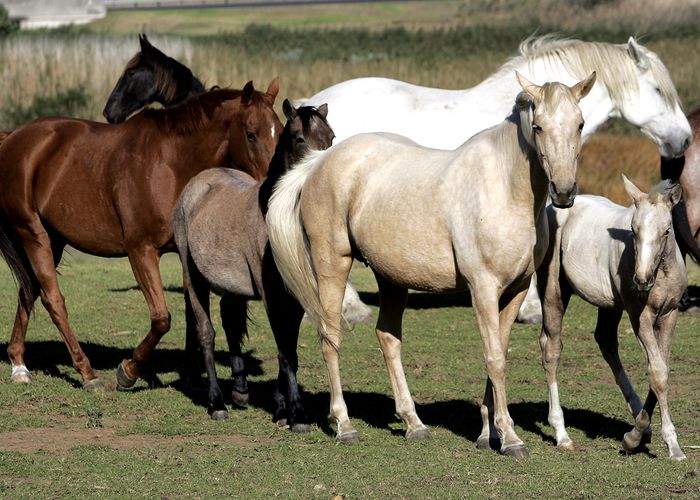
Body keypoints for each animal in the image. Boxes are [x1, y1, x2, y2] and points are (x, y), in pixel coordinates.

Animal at [0, 80, 282, 390]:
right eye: (251, 134)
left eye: (281, 132)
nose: (270, 190)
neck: (170, 164)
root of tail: (13, 138)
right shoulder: (141, 251)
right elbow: (161, 318)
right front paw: (129, 371)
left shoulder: (184, 254)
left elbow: (192, 314)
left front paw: (191, 373)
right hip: (32, 234)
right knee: (53, 300)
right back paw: (87, 373)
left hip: (54, 240)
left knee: (29, 291)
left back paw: (19, 365)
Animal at [171, 100, 332, 426]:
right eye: (300, 139)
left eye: (331, 139)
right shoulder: (271, 296)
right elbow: (284, 349)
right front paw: (296, 414)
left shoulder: (295, 295)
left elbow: (289, 349)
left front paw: (282, 409)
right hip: (193, 276)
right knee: (206, 332)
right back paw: (217, 402)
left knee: (231, 323)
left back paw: (240, 390)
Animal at [266, 71, 592, 458]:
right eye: (538, 126)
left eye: (580, 124)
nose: (564, 192)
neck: (505, 188)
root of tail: (317, 163)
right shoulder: (482, 289)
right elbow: (494, 359)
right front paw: (510, 438)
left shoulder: (515, 290)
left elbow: (498, 353)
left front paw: (488, 434)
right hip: (333, 264)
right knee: (330, 338)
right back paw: (344, 426)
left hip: (391, 277)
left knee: (388, 338)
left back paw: (414, 423)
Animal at [540, 177, 688, 460]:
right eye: (633, 229)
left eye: (666, 231)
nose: (641, 280)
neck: (661, 273)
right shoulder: (639, 316)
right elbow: (658, 372)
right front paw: (672, 446)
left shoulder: (670, 314)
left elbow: (661, 369)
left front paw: (634, 436)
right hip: (554, 290)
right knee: (551, 347)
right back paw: (561, 433)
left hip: (608, 303)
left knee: (606, 341)